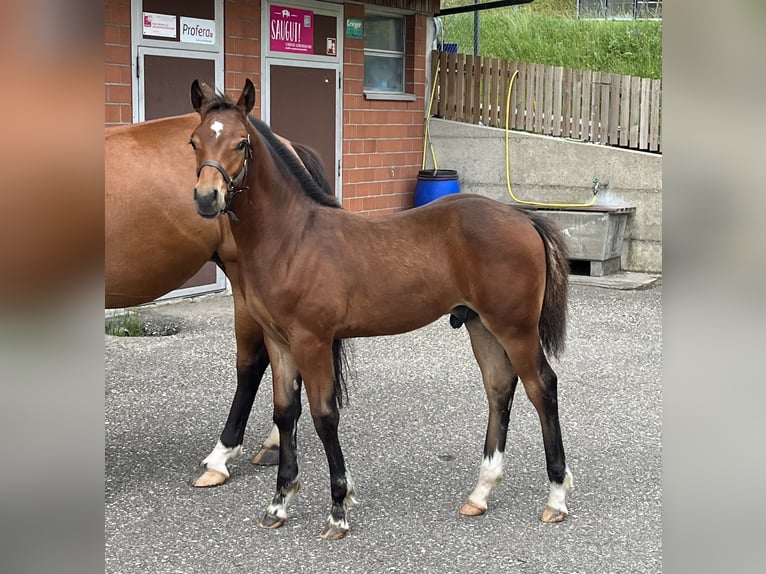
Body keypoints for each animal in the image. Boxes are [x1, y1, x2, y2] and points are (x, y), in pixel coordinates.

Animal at [190, 79, 576, 544]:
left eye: (242, 143)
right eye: (194, 141)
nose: (206, 198)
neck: (292, 238)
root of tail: (522, 217)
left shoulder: (312, 341)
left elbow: (324, 417)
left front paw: (338, 509)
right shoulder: (279, 342)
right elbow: (285, 415)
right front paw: (279, 503)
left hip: (515, 328)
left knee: (542, 388)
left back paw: (556, 497)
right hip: (481, 326)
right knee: (500, 390)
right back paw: (480, 493)